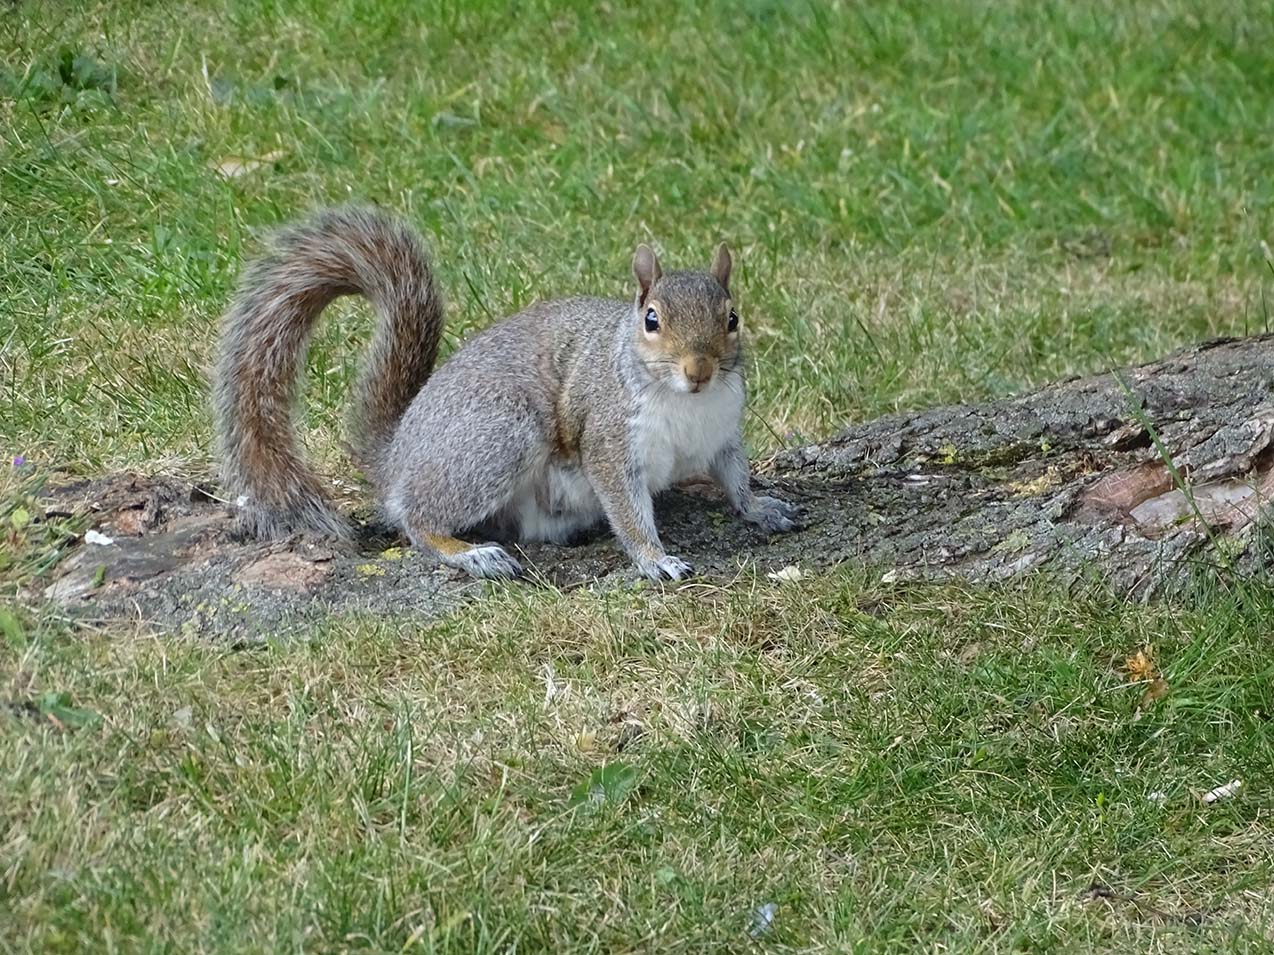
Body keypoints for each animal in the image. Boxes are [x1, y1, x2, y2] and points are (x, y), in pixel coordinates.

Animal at [215, 207, 800, 583]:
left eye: (732, 318)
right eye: (651, 319)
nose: (699, 370)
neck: (687, 403)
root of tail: (398, 452)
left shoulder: (723, 432)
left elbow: (734, 476)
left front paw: (761, 507)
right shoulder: (610, 440)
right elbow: (627, 508)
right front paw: (656, 560)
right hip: (500, 439)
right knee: (414, 516)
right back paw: (467, 553)